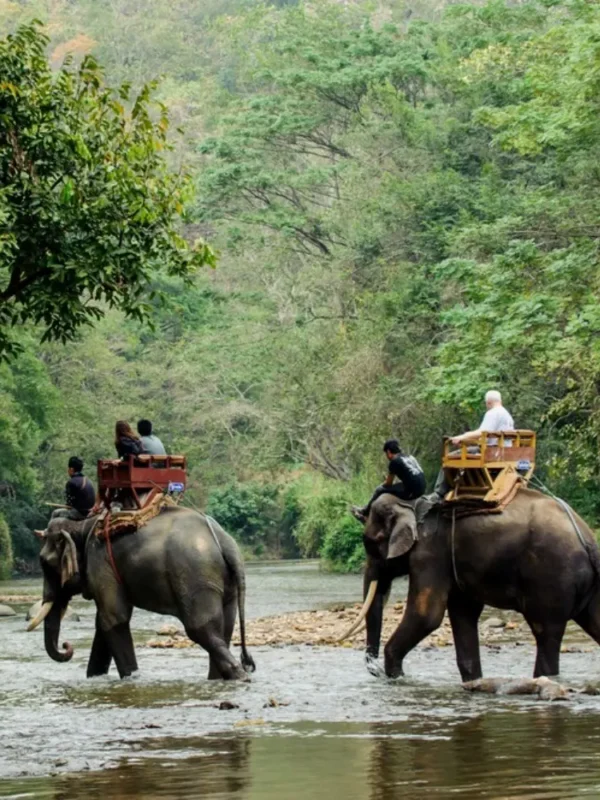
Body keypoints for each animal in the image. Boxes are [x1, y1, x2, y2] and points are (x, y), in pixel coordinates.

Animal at [28, 507, 255, 680]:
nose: (67, 646)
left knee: (201, 629)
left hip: (196, 577)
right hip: (224, 583)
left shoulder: (101, 564)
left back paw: (240, 676)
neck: (83, 524)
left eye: (44, 563)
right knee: (223, 629)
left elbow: (114, 619)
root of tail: (225, 542)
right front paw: (95, 677)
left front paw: (131, 678)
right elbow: (104, 623)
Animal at [343, 489, 600, 681]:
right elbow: (462, 612)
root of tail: (588, 539)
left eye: (372, 543)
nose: (374, 669)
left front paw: (396, 676)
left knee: (545, 632)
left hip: (551, 579)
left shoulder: (429, 553)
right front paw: (473, 681)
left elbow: (426, 616)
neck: (410, 503)